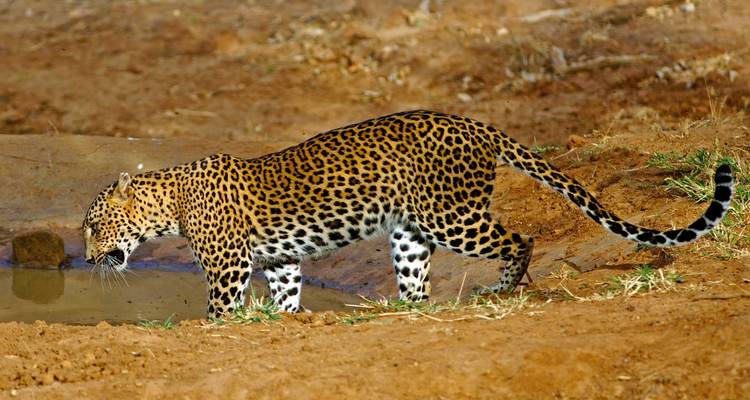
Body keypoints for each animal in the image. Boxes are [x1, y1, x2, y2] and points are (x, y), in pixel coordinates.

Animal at [82, 110, 735, 319]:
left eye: (93, 226)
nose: (86, 258)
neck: (168, 201)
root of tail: (473, 123)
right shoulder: (282, 261)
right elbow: (287, 296)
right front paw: (281, 320)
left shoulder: (227, 265)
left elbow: (219, 308)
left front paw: (221, 326)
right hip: (410, 233)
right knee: (417, 281)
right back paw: (405, 307)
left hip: (453, 215)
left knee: (518, 237)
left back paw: (502, 289)